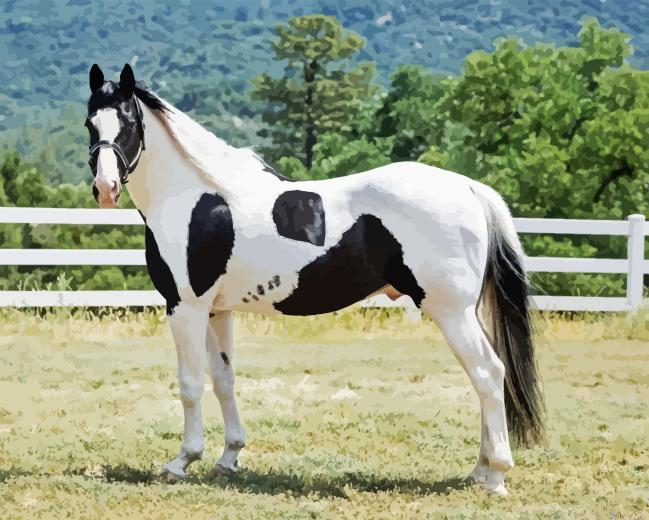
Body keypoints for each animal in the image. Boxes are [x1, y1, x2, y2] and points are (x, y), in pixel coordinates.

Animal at [84, 63, 543, 496]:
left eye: (128, 122)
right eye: (91, 122)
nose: (105, 189)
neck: (195, 198)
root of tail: (469, 188)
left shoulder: (186, 308)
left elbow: (190, 384)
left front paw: (182, 461)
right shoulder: (216, 311)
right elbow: (223, 380)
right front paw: (229, 457)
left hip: (451, 312)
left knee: (487, 373)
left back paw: (496, 475)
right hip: (464, 313)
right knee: (487, 377)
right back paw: (479, 471)